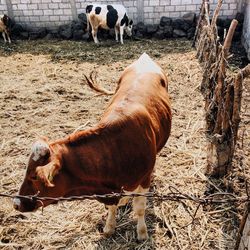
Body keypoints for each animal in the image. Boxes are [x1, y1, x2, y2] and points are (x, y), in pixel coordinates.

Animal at [12, 53, 171, 240]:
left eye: (34, 177)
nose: (16, 203)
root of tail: (144, 59)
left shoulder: (144, 179)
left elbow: (139, 207)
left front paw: (142, 232)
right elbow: (113, 207)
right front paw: (109, 227)